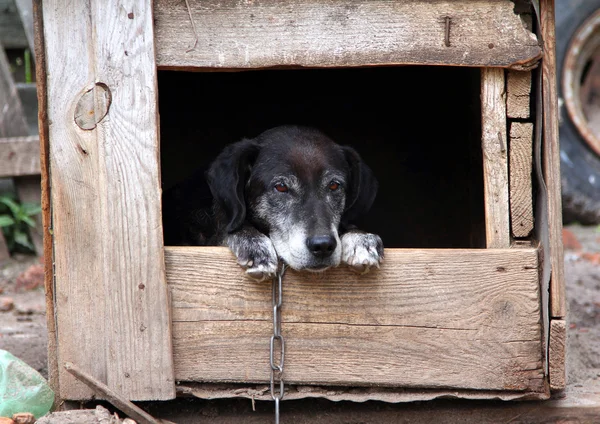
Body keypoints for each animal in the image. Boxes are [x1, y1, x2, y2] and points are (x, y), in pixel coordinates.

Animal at [162, 124, 382, 280]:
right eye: (281, 187)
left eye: (335, 185)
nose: (323, 246)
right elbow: (227, 227)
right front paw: (254, 244)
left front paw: (360, 237)